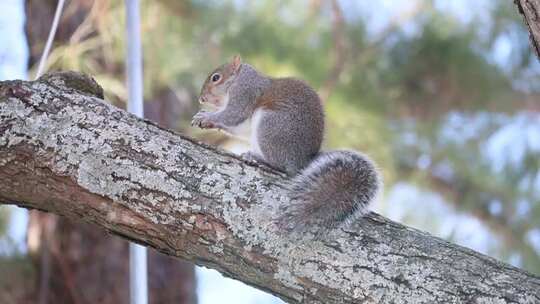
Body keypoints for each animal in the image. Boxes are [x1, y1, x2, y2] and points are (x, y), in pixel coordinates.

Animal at [192, 55, 382, 235]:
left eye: (216, 77)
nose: (201, 99)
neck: (238, 78)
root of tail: (303, 160)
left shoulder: (245, 92)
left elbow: (233, 115)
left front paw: (207, 116)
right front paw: (205, 118)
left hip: (270, 126)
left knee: (281, 166)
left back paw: (257, 158)